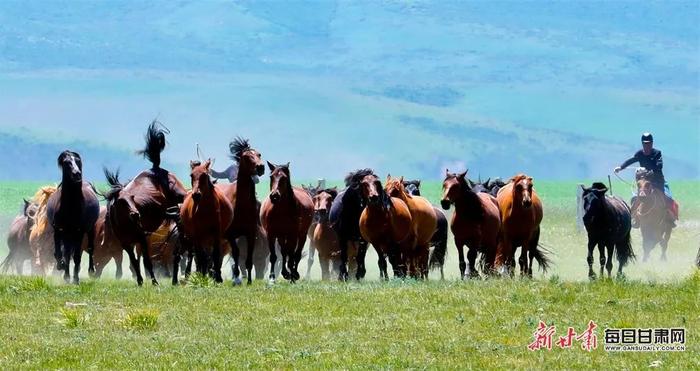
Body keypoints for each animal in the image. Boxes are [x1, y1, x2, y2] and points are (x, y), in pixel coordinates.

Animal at [45, 151, 99, 284]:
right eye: (66, 162)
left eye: (78, 161)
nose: (77, 174)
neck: (70, 206)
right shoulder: (60, 230)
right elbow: (62, 253)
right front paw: (64, 272)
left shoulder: (79, 232)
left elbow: (76, 256)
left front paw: (75, 279)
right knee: (67, 252)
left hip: (90, 230)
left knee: (90, 248)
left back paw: (90, 271)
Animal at [103, 122, 186, 288]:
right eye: (121, 201)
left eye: (133, 198)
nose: (136, 214)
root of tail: (156, 167)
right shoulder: (126, 244)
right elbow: (134, 262)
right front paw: (140, 281)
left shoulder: (141, 238)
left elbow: (147, 261)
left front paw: (154, 282)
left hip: (180, 194)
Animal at [216, 137, 266, 284]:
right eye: (246, 156)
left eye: (259, 154)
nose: (260, 167)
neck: (241, 206)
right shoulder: (232, 235)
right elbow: (236, 256)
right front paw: (237, 279)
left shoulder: (251, 233)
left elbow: (249, 260)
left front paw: (248, 281)